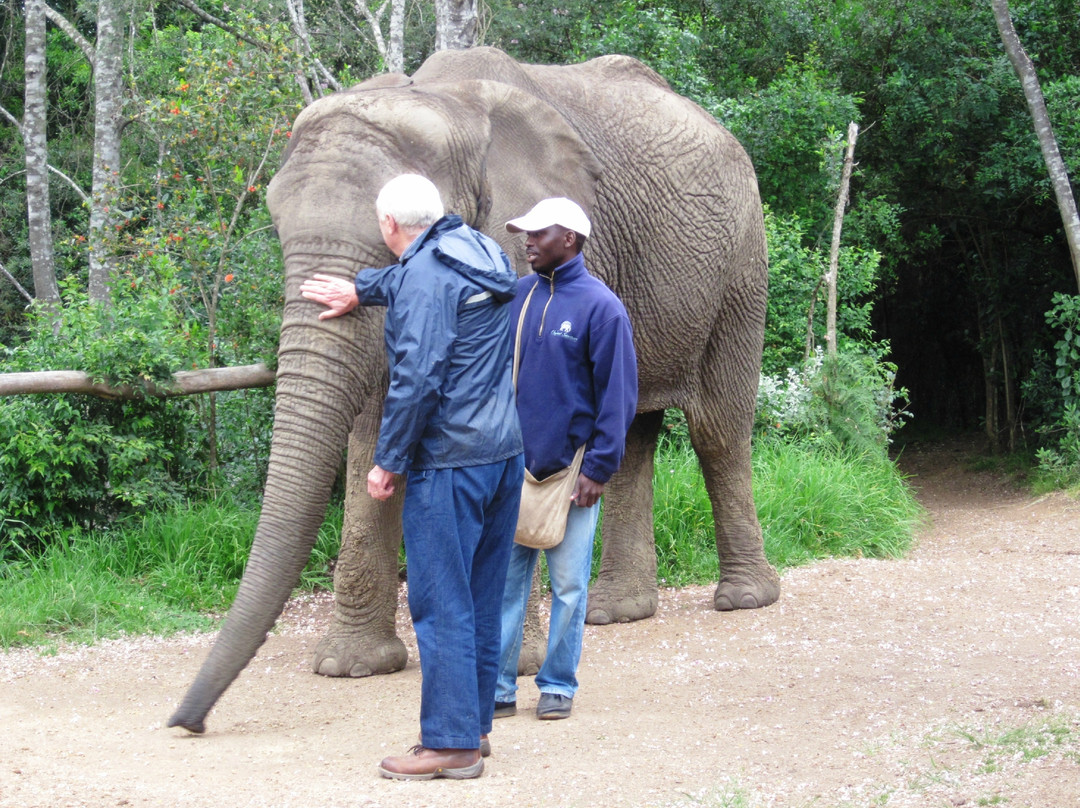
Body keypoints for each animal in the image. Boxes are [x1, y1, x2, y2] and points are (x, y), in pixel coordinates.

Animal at [167, 46, 779, 734]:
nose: (187, 722)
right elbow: (374, 424)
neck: (440, 104)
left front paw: (516, 664)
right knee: (632, 435)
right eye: (275, 227)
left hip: (742, 261)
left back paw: (742, 599)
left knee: (718, 430)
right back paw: (615, 613)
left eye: (390, 242)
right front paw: (351, 668)